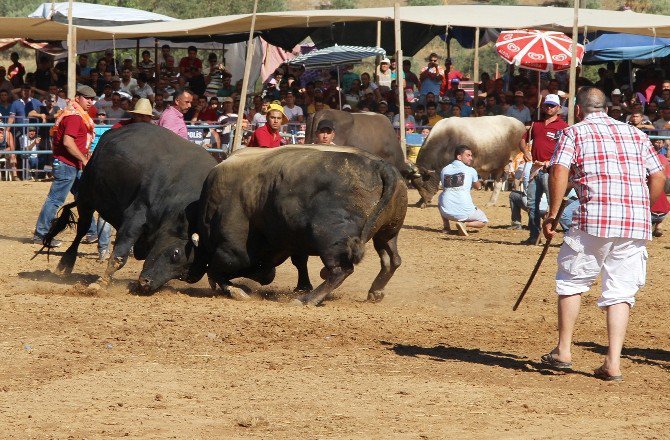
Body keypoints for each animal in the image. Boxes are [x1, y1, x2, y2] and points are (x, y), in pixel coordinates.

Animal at [44, 122, 217, 290]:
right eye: (176, 253)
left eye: (184, 274)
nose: (147, 283)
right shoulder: (136, 215)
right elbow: (119, 255)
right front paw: (102, 283)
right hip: (86, 197)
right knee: (82, 230)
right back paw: (66, 263)